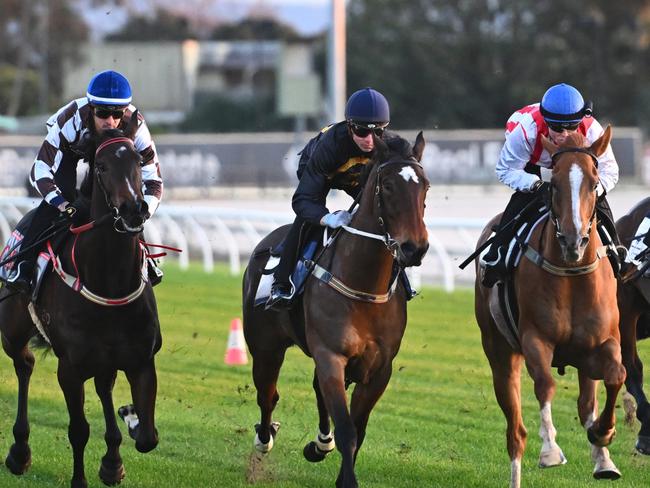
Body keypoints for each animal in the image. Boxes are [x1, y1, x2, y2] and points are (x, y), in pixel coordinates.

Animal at [0, 112, 160, 486]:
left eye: (139, 160)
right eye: (100, 166)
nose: (134, 210)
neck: (109, 282)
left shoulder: (141, 359)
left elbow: (148, 437)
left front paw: (131, 423)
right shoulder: (70, 368)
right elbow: (78, 430)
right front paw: (80, 478)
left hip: (104, 359)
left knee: (103, 386)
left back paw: (113, 460)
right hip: (12, 333)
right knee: (24, 364)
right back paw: (19, 452)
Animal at [240, 133, 428, 488]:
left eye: (425, 185)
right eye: (387, 185)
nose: (415, 248)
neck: (364, 286)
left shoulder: (378, 369)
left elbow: (357, 428)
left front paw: (331, 458)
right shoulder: (330, 355)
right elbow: (346, 429)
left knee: (315, 392)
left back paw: (319, 443)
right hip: (265, 347)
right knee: (267, 395)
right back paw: (264, 438)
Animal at [474, 127, 624, 486]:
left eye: (594, 182)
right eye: (553, 183)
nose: (573, 241)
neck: (571, 274)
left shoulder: (603, 342)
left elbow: (616, 376)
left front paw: (603, 435)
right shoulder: (535, 340)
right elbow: (545, 384)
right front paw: (551, 451)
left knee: (586, 403)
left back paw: (602, 456)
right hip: (499, 353)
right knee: (515, 432)